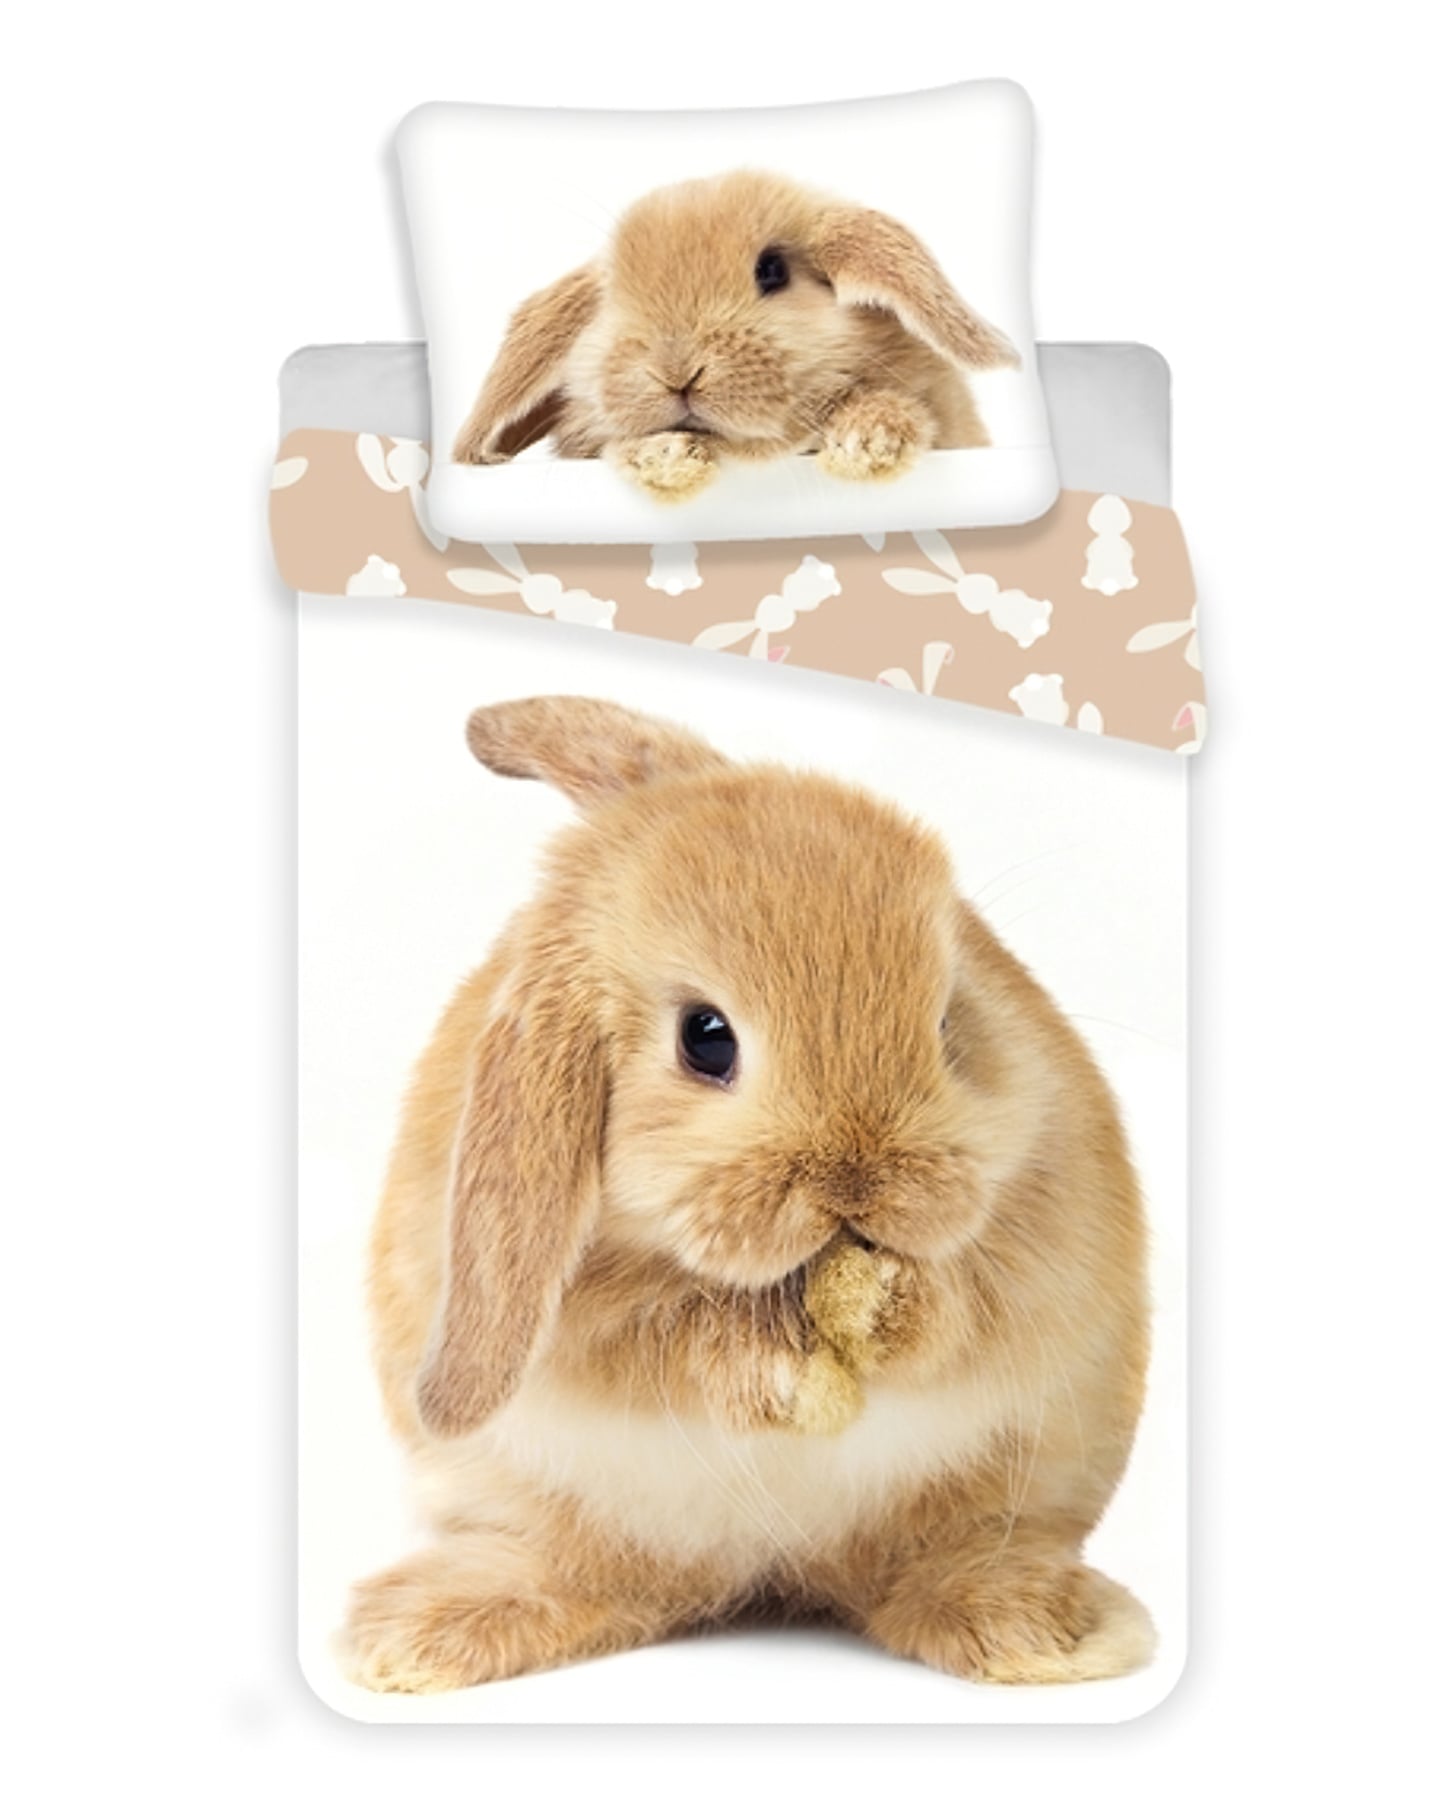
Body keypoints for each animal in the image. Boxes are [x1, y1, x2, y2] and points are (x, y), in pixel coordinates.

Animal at [339, 696, 1155, 1694]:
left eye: (946, 1021)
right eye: (706, 1038)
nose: (861, 1181)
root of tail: (783, 1572)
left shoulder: (1036, 1232)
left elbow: (961, 1311)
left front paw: (883, 1311)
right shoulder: (599, 1329)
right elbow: (673, 1338)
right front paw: (793, 1373)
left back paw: (1043, 1631)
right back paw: (418, 1639)